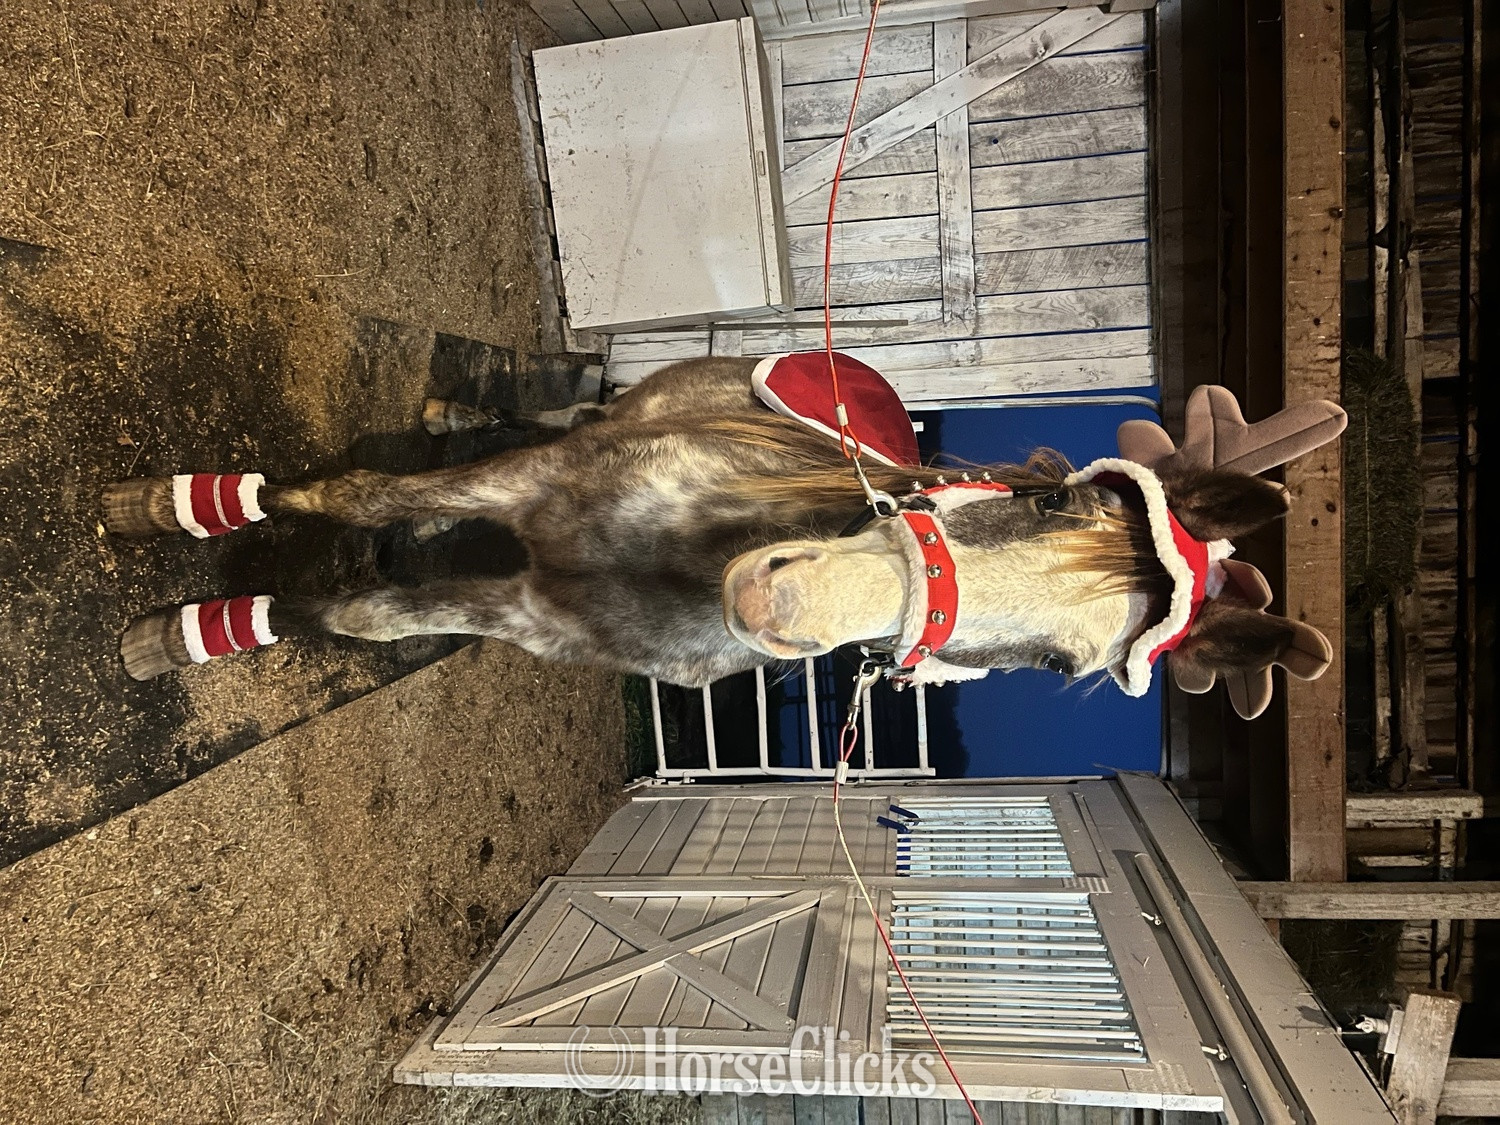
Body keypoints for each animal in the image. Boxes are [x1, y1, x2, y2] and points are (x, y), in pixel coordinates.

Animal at [103, 355, 1337, 713]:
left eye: (1047, 664)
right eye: (1039, 501)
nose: (776, 603)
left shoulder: (525, 607)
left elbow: (360, 614)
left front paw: (196, 630)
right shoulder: (531, 484)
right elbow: (356, 503)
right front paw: (177, 520)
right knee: (571, 414)